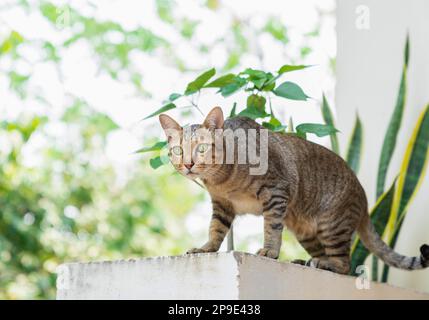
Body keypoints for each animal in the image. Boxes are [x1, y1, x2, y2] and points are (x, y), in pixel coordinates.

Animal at [158, 106, 428, 274]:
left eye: (202, 148)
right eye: (178, 150)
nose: (188, 164)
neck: (223, 181)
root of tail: (364, 201)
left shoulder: (275, 190)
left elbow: (271, 227)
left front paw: (269, 250)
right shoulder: (222, 204)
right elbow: (215, 229)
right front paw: (206, 248)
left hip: (332, 226)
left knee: (345, 265)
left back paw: (324, 264)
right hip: (307, 233)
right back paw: (307, 261)